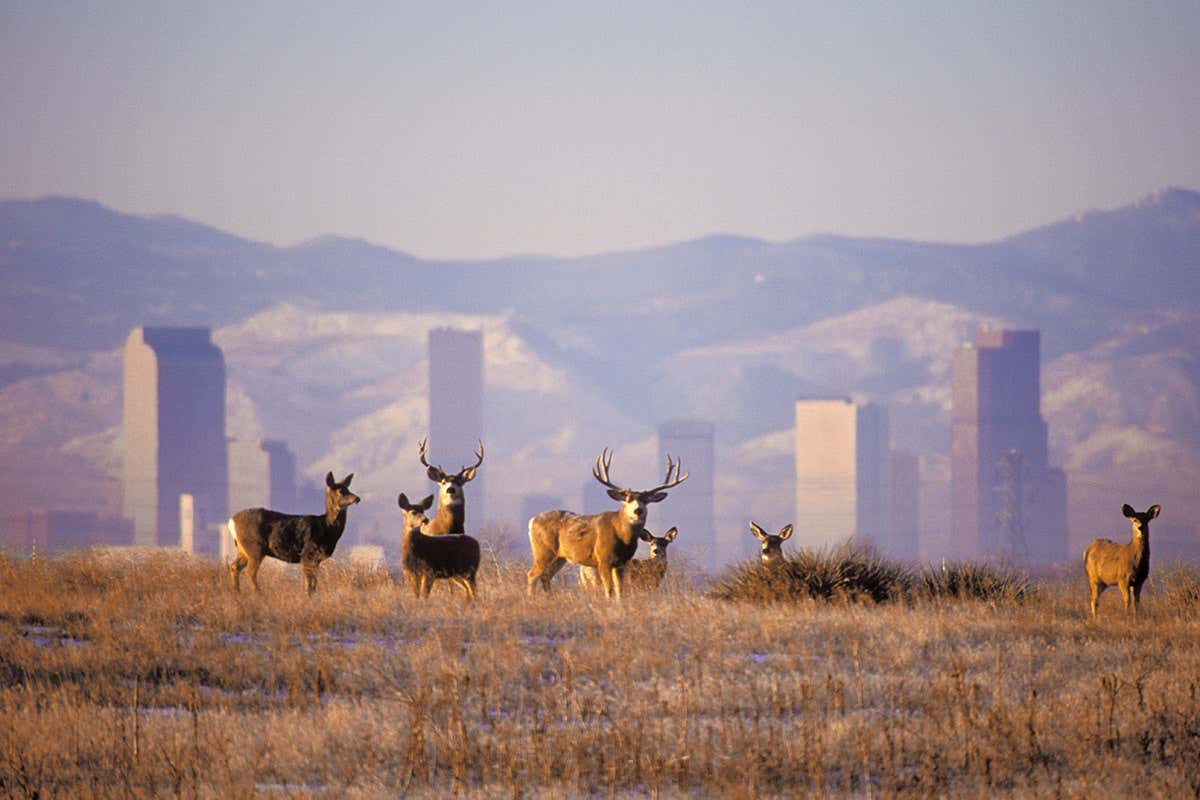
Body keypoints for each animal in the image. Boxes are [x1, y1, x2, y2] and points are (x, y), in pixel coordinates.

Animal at [228, 472, 360, 595]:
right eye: (340, 491)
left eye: (348, 489)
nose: (357, 498)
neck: (326, 527)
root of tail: (231, 521)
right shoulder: (307, 553)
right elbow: (309, 583)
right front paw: (308, 598)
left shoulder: (316, 559)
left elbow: (314, 583)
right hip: (255, 547)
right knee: (250, 571)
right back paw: (259, 594)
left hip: (243, 549)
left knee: (234, 566)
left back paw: (237, 593)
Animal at [527, 448, 688, 600]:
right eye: (627, 499)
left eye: (646, 500)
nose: (638, 510)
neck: (622, 537)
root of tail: (532, 520)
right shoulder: (603, 559)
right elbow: (609, 590)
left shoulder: (622, 563)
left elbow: (619, 591)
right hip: (543, 551)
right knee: (532, 575)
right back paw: (532, 601)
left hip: (560, 556)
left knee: (546, 576)